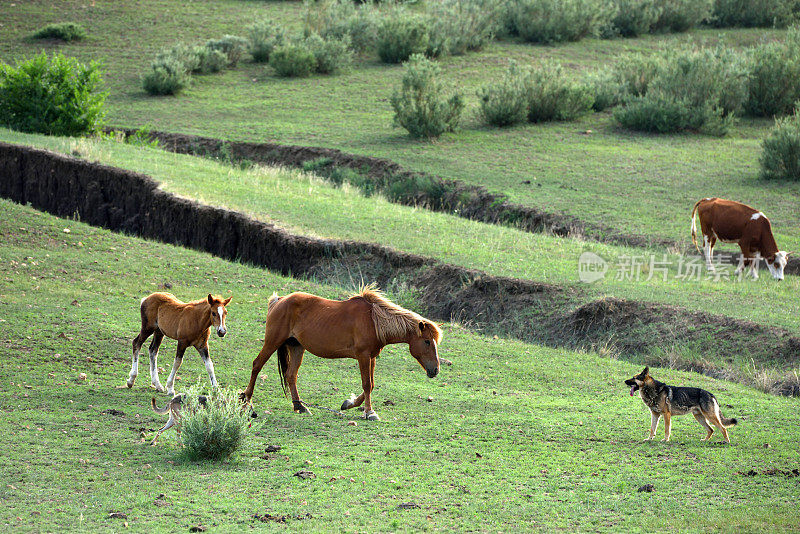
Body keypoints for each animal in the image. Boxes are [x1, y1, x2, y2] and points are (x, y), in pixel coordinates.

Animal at [241, 288, 440, 422]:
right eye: (427, 341)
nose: (435, 370)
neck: (374, 321)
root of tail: (280, 300)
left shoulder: (371, 357)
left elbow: (371, 385)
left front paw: (349, 403)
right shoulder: (363, 356)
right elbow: (367, 385)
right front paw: (370, 412)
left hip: (296, 347)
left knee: (291, 375)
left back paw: (300, 406)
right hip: (272, 342)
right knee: (257, 365)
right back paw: (247, 402)